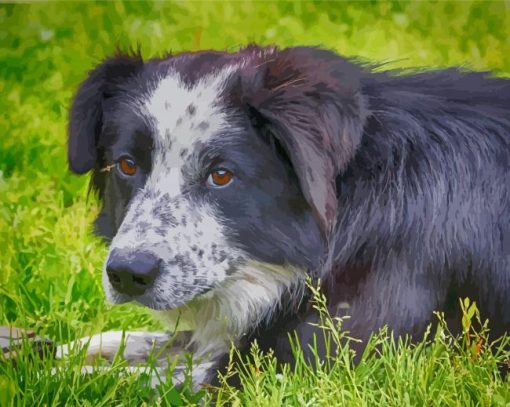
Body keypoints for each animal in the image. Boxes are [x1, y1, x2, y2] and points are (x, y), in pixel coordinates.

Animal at [63, 44, 510, 388]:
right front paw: (62, 348)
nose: (127, 274)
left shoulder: (318, 364)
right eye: (127, 165)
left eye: (221, 175)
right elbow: (146, 342)